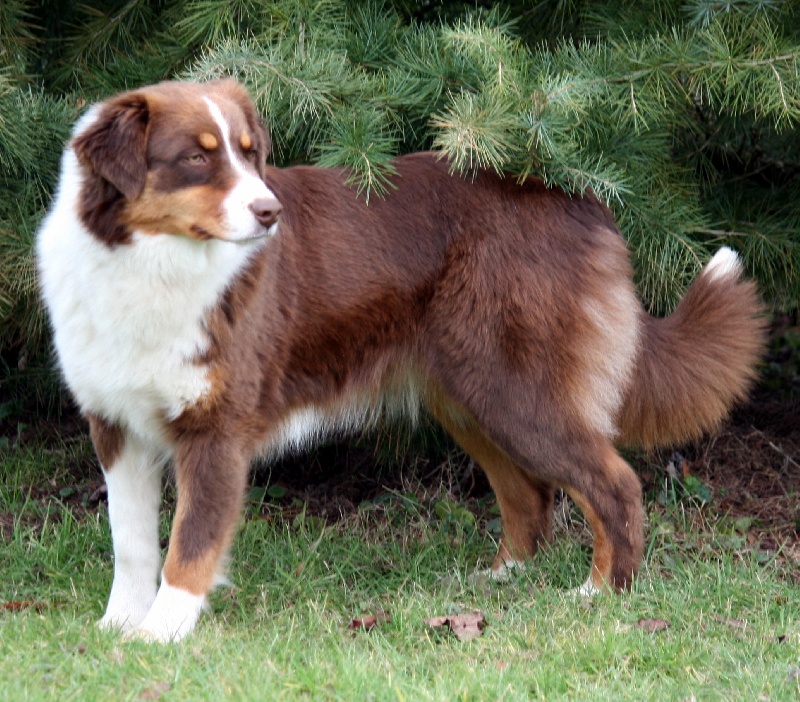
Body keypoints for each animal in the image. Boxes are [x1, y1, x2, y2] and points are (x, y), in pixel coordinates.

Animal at [36, 81, 764, 644]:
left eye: (249, 154)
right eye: (195, 158)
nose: (271, 211)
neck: (150, 265)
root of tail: (582, 198)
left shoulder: (216, 430)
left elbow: (189, 545)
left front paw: (161, 634)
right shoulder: (116, 424)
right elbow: (131, 541)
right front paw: (116, 627)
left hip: (516, 391)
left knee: (614, 483)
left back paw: (602, 594)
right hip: (469, 397)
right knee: (529, 491)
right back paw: (503, 578)